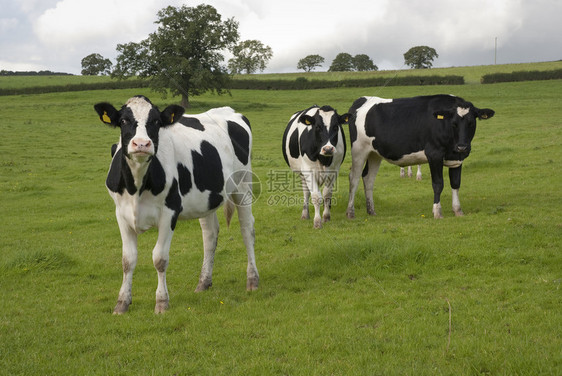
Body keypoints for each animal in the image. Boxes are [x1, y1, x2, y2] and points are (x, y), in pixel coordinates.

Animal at [93, 95, 258, 312]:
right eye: (123, 120)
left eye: (156, 121)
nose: (141, 144)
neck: (136, 186)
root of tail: (229, 110)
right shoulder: (121, 213)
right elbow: (128, 260)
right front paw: (122, 303)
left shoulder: (169, 212)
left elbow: (159, 258)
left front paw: (162, 302)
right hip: (205, 199)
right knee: (210, 235)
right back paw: (203, 282)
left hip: (243, 185)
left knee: (247, 230)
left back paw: (252, 280)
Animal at [344, 94, 492, 220]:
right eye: (454, 123)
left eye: (471, 123)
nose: (462, 146)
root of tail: (362, 99)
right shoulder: (434, 154)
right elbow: (438, 184)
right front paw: (437, 212)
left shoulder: (457, 158)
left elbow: (455, 183)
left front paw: (458, 210)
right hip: (359, 151)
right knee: (354, 178)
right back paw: (350, 213)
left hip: (374, 154)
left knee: (368, 178)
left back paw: (371, 211)